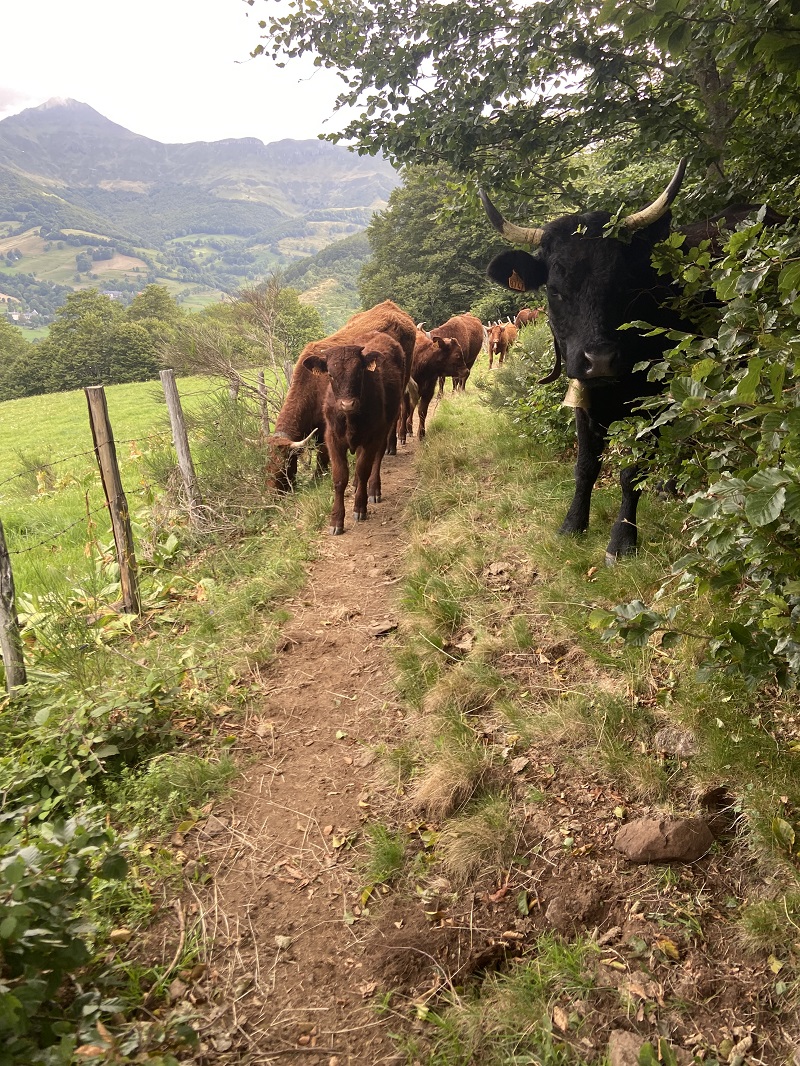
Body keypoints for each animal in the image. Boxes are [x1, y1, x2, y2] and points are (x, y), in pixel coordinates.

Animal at [267, 300, 417, 492]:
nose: (271, 493)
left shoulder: (326, 428)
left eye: (284, 466)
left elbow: (323, 455)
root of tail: (392, 307)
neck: (312, 383)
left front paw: (317, 477)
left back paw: (391, 446)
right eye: (266, 466)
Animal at [302, 332, 405, 535]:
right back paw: (357, 484)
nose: (347, 404)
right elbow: (340, 477)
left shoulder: (372, 438)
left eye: (359, 372)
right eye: (330, 375)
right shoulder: (333, 439)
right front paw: (336, 520)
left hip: (386, 427)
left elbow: (363, 468)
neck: (350, 418)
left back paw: (373, 489)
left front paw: (360, 507)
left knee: (377, 458)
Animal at [481, 159, 782, 563]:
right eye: (555, 290)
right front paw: (572, 524)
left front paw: (622, 539)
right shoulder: (585, 397)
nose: (600, 360)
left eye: (624, 283)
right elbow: (585, 465)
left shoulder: (650, 400)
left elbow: (631, 471)